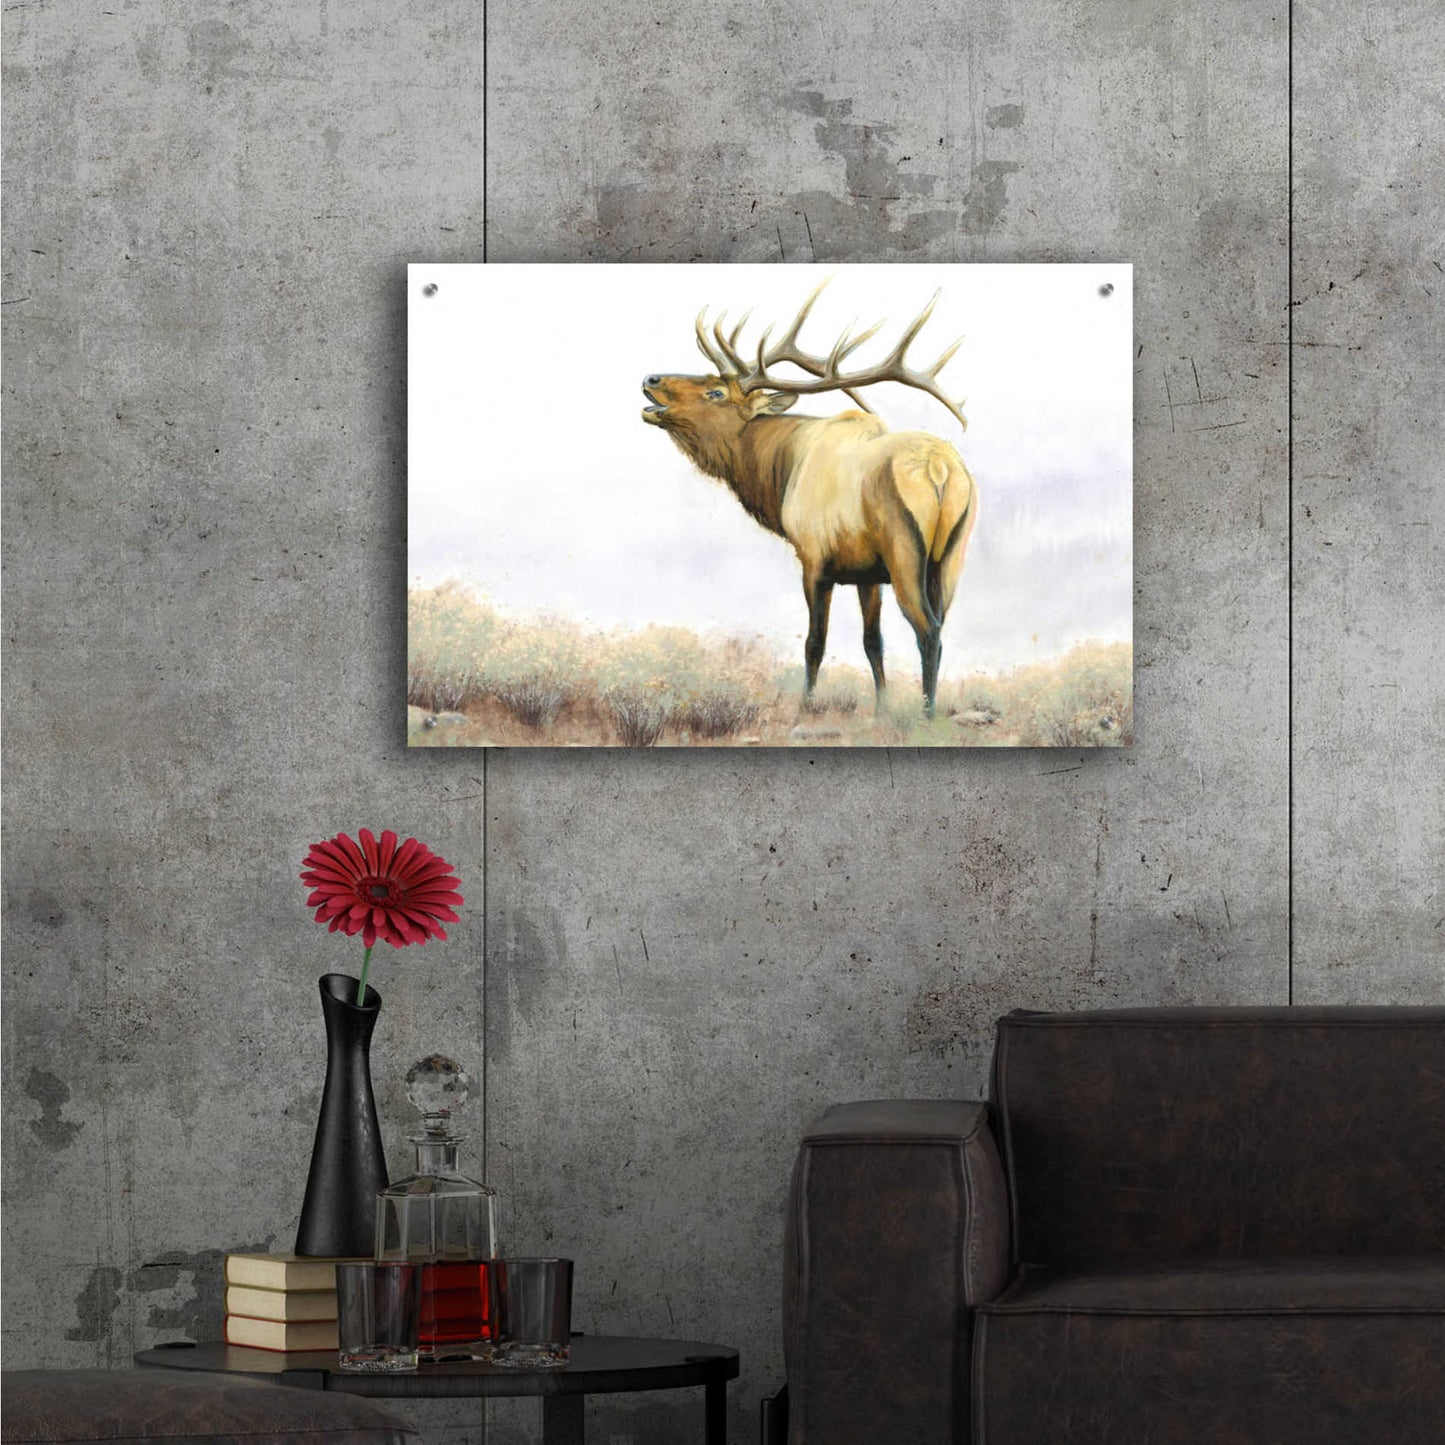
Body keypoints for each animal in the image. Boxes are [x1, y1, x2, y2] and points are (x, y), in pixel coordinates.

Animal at [640, 279, 978, 717]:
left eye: (715, 392)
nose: (651, 378)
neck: (780, 472)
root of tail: (939, 468)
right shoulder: (868, 574)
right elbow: (873, 642)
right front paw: (881, 708)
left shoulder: (815, 558)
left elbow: (814, 642)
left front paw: (805, 705)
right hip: (951, 557)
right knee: (940, 624)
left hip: (905, 550)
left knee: (927, 629)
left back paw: (926, 714)